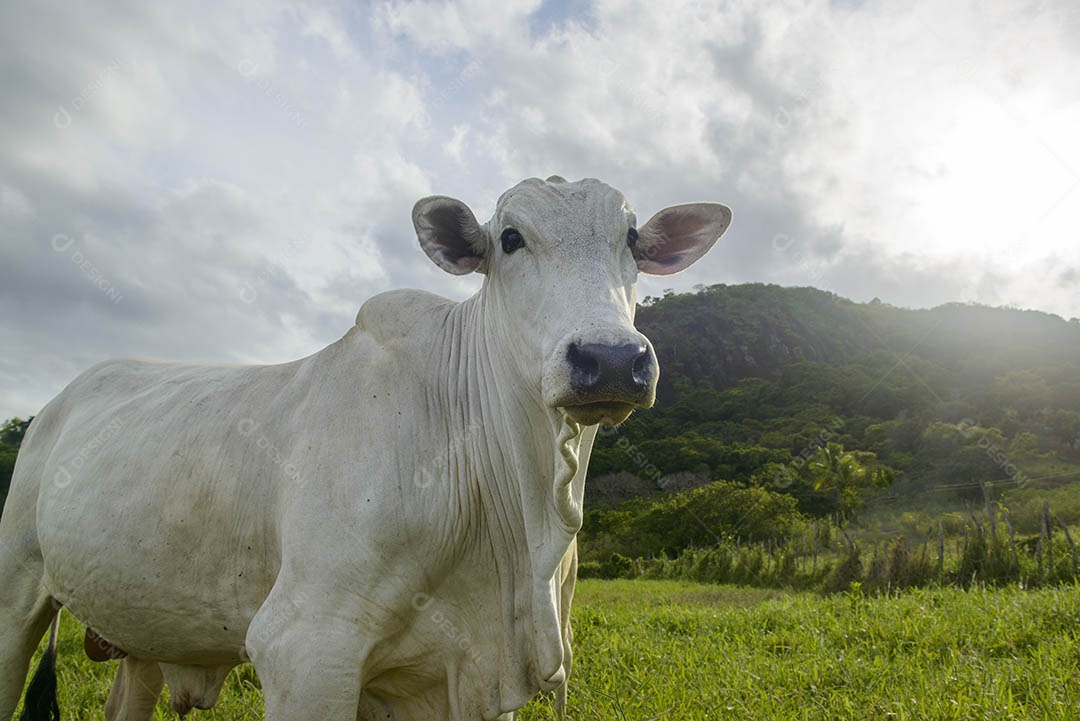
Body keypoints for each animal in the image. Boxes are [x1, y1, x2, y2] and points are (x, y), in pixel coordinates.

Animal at [0, 176, 731, 721]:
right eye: (511, 238)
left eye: (631, 238)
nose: (611, 360)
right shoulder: (304, 647)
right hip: (15, 587)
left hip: (142, 629)